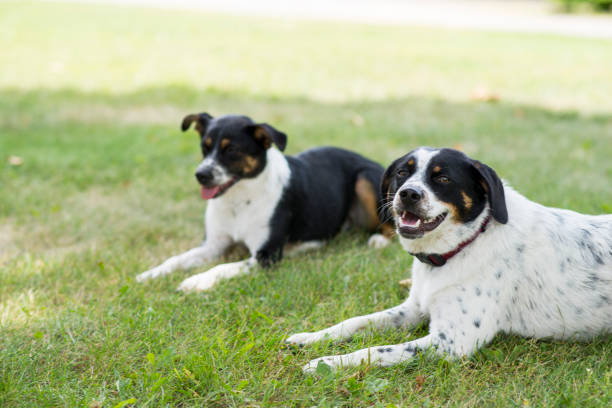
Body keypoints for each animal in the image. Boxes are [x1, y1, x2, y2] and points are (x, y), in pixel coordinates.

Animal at [134, 111, 394, 290]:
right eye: (204, 148)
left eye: (231, 150)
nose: (201, 175)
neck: (239, 201)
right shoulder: (213, 245)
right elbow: (176, 259)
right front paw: (151, 274)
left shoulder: (266, 255)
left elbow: (223, 267)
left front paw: (196, 281)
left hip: (365, 180)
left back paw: (379, 240)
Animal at [288, 147, 612, 372]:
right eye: (402, 173)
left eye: (443, 178)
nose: (408, 194)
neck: (467, 243)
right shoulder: (413, 309)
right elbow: (354, 322)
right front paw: (310, 337)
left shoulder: (450, 342)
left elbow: (375, 351)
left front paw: (327, 364)